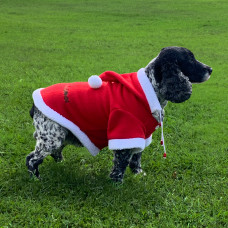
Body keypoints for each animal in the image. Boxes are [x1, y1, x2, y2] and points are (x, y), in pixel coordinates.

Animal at [26, 47, 212, 183]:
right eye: (190, 59)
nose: (210, 69)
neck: (150, 89)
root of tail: (34, 105)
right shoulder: (125, 130)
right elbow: (121, 163)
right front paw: (116, 184)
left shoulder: (141, 134)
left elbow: (136, 158)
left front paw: (138, 174)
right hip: (51, 138)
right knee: (31, 159)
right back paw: (36, 179)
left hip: (60, 135)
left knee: (55, 153)